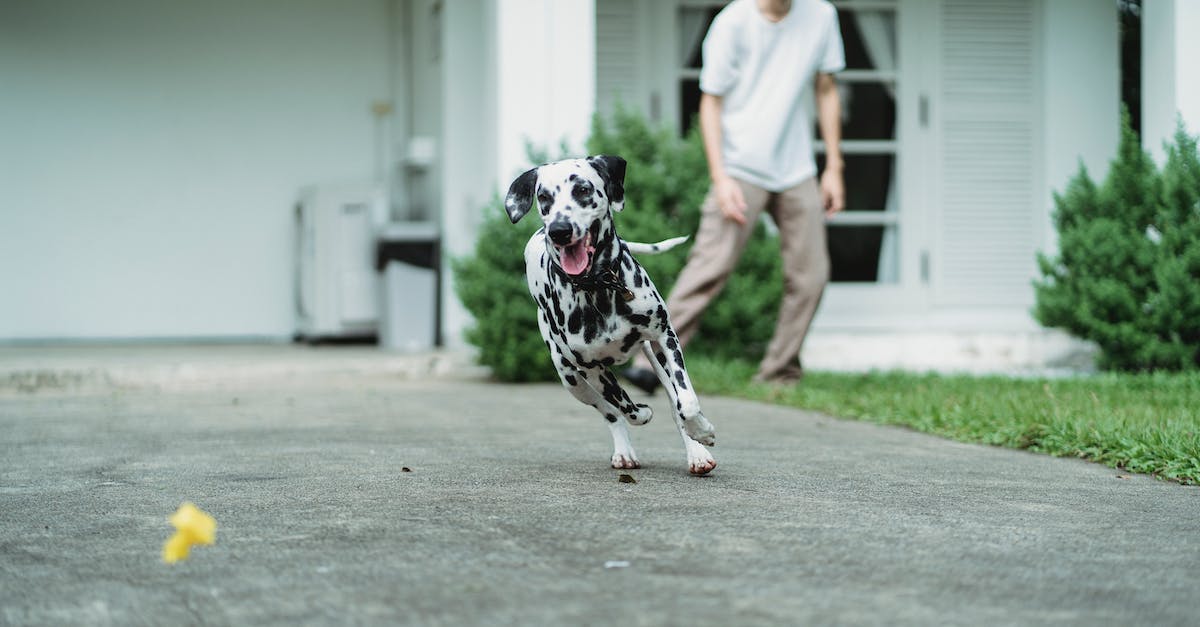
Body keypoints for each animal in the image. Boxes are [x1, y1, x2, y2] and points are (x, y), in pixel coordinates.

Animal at [504, 154, 715, 473]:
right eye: (544, 197)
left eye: (582, 190)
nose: (559, 230)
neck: (600, 288)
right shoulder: (592, 368)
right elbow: (624, 406)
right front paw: (641, 413)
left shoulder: (665, 337)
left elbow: (686, 401)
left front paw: (701, 431)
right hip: (570, 377)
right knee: (610, 412)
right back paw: (624, 450)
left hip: (653, 357)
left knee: (674, 402)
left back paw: (697, 452)